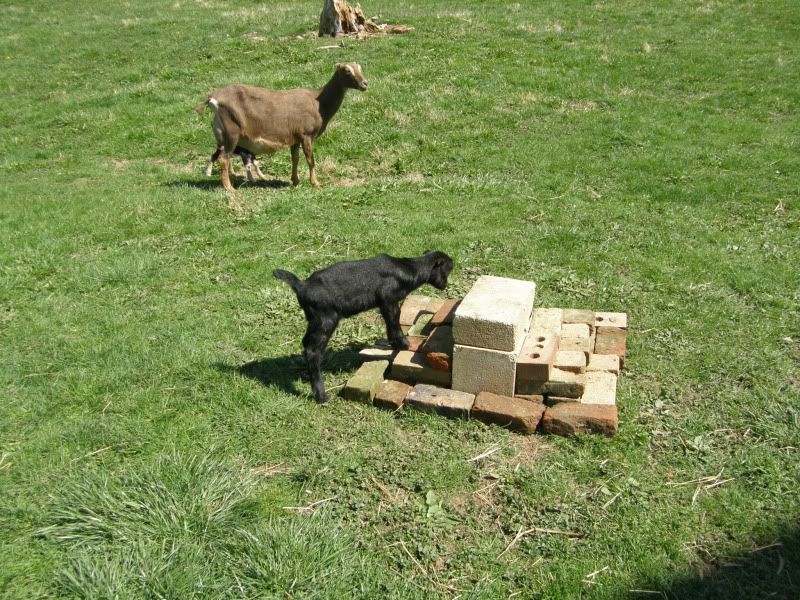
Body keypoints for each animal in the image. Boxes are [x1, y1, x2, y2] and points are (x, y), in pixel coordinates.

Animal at [195, 63, 368, 191]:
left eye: (359, 67)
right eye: (347, 70)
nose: (365, 83)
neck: (318, 103)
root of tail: (212, 98)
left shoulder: (295, 137)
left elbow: (295, 159)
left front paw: (295, 181)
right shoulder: (306, 134)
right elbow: (310, 160)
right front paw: (316, 184)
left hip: (221, 134)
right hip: (232, 131)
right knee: (223, 158)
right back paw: (229, 188)